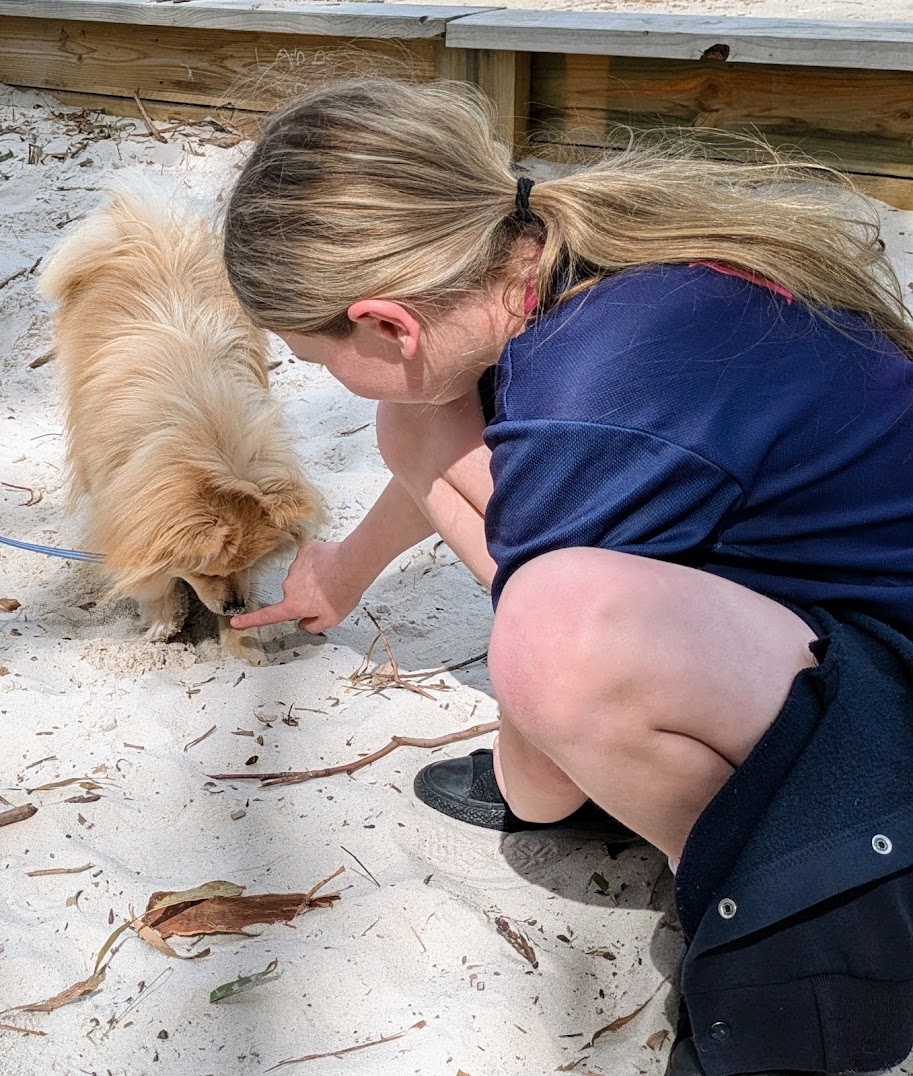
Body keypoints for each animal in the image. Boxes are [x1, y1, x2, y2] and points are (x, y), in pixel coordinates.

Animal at [40, 180, 324, 658]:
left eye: (247, 563)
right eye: (207, 571)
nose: (233, 605)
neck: (205, 429)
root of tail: (148, 226)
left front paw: (242, 644)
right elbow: (153, 577)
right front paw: (163, 622)